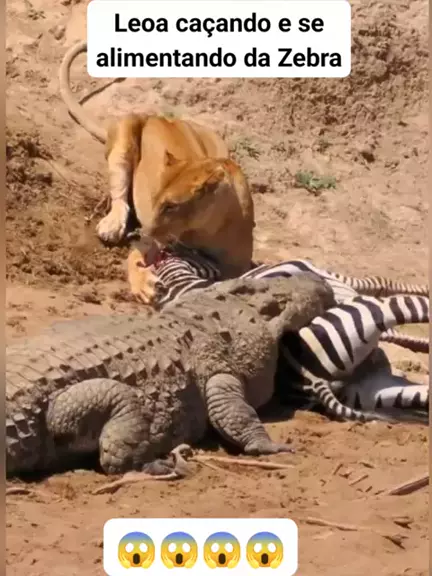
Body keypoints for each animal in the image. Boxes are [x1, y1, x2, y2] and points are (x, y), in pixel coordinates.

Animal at [59, 40, 255, 304]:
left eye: (171, 206)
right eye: (156, 200)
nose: (142, 232)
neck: (208, 229)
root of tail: (162, 117)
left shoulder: (238, 265)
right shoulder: (157, 243)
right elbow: (137, 257)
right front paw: (145, 285)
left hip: (219, 142)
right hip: (127, 129)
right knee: (120, 196)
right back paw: (112, 224)